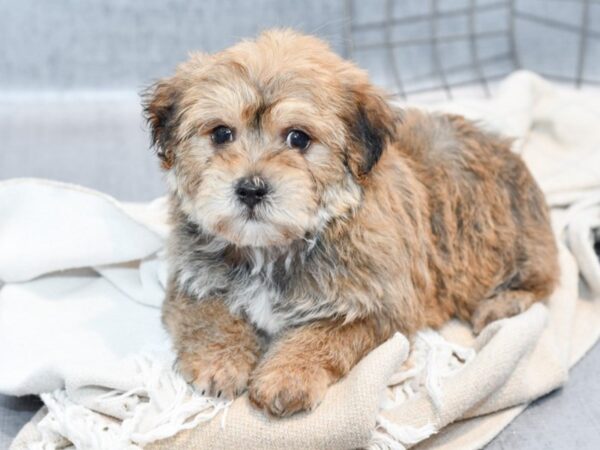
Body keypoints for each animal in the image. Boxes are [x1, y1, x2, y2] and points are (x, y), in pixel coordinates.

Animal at [143, 29, 560, 418]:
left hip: (505, 242)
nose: (250, 189)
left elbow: (326, 334)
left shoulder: (381, 308)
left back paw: (504, 304)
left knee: (543, 279)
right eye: (221, 133)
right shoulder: (191, 279)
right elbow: (208, 315)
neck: (272, 249)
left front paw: (287, 375)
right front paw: (220, 361)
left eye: (298, 138)